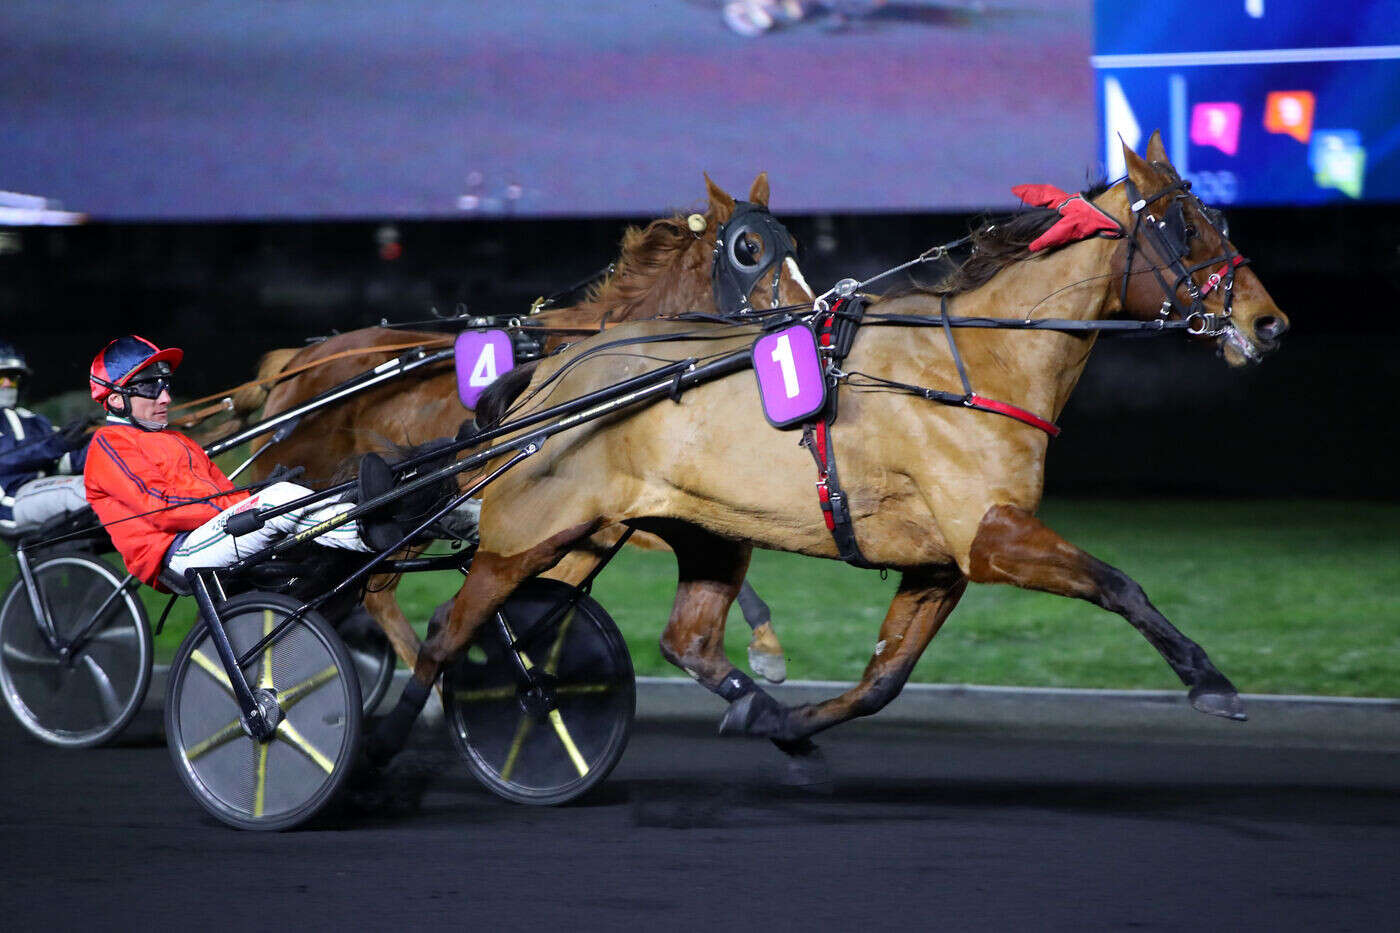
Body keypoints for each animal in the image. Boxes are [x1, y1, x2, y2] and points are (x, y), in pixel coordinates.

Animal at [218, 174, 812, 680]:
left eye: (793, 244)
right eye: (749, 249)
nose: (811, 310)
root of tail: (299, 361)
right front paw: (765, 647)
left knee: (366, 591)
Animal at [372, 132, 1288, 767]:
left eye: (1218, 218)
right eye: (1184, 227)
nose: (1269, 321)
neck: (976, 359)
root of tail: (558, 370)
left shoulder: (941, 562)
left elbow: (883, 680)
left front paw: (788, 721)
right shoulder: (991, 536)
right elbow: (1118, 582)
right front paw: (1210, 681)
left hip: (667, 533)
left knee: (675, 637)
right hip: (534, 530)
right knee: (454, 624)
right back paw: (383, 746)